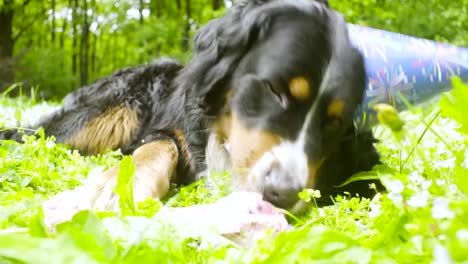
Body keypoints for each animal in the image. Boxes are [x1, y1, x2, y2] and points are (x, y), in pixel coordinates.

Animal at [0, 0, 384, 210]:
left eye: (334, 122)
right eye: (275, 90)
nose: (284, 193)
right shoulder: (168, 128)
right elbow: (158, 144)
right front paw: (118, 184)